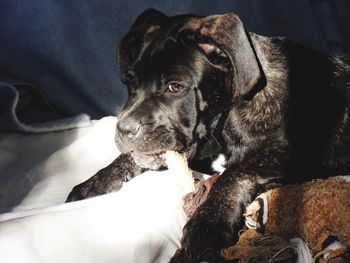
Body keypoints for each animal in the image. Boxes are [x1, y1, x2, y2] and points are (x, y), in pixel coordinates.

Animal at [67, 9, 350, 262]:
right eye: (130, 82)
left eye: (175, 87)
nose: (124, 129)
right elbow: (131, 158)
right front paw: (95, 182)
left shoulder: (294, 159)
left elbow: (234, 173)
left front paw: (207, 223)